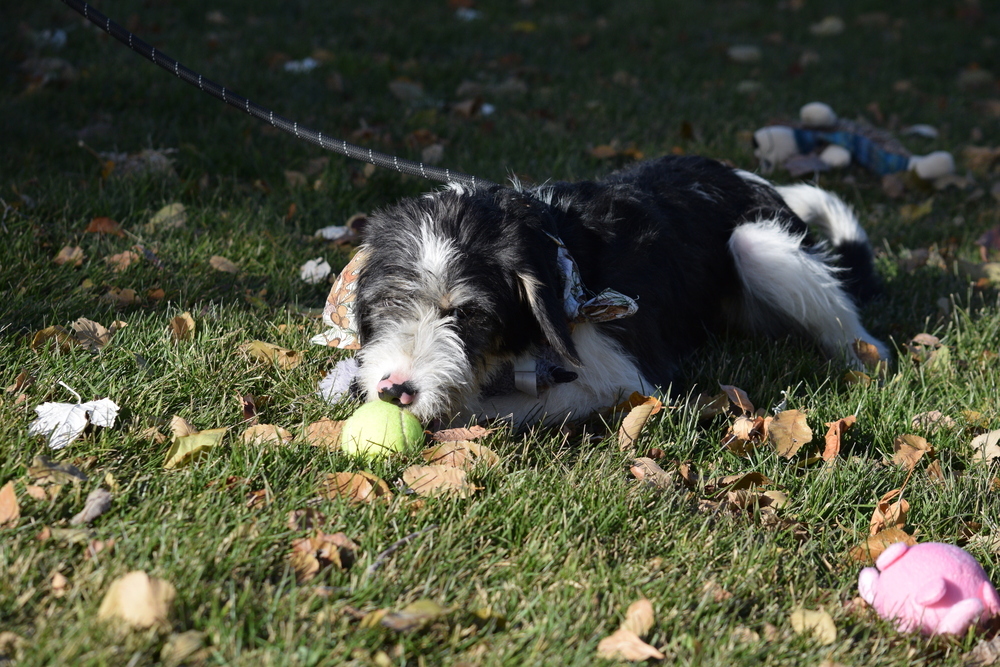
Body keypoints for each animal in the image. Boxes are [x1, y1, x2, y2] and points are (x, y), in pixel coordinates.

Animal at [348, 156, 888, 426]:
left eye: (471, 315)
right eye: (389, 303)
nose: (394, 390)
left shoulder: (627, 382)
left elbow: (512, 406)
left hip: (758, 243)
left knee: (857, 330)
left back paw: (862, 358)